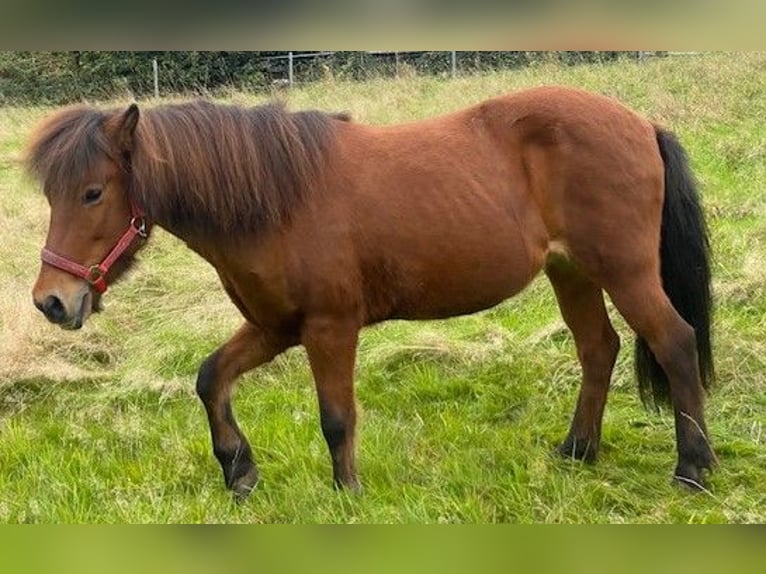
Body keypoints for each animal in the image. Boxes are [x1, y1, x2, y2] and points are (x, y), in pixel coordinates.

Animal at [27, 86, 716, 500]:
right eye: (51, 194)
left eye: (93, 192)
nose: (51, 301)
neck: (277, 197)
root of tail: (641, 123)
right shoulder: (274, 327)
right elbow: (210, 378)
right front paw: (239, 470)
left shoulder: (329, 327)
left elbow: (336, 417)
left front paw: (347, 493)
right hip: (571, 272)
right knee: (599, 348)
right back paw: (577, 451)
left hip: (625, 271)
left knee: (675, 343)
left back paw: (693, 467)